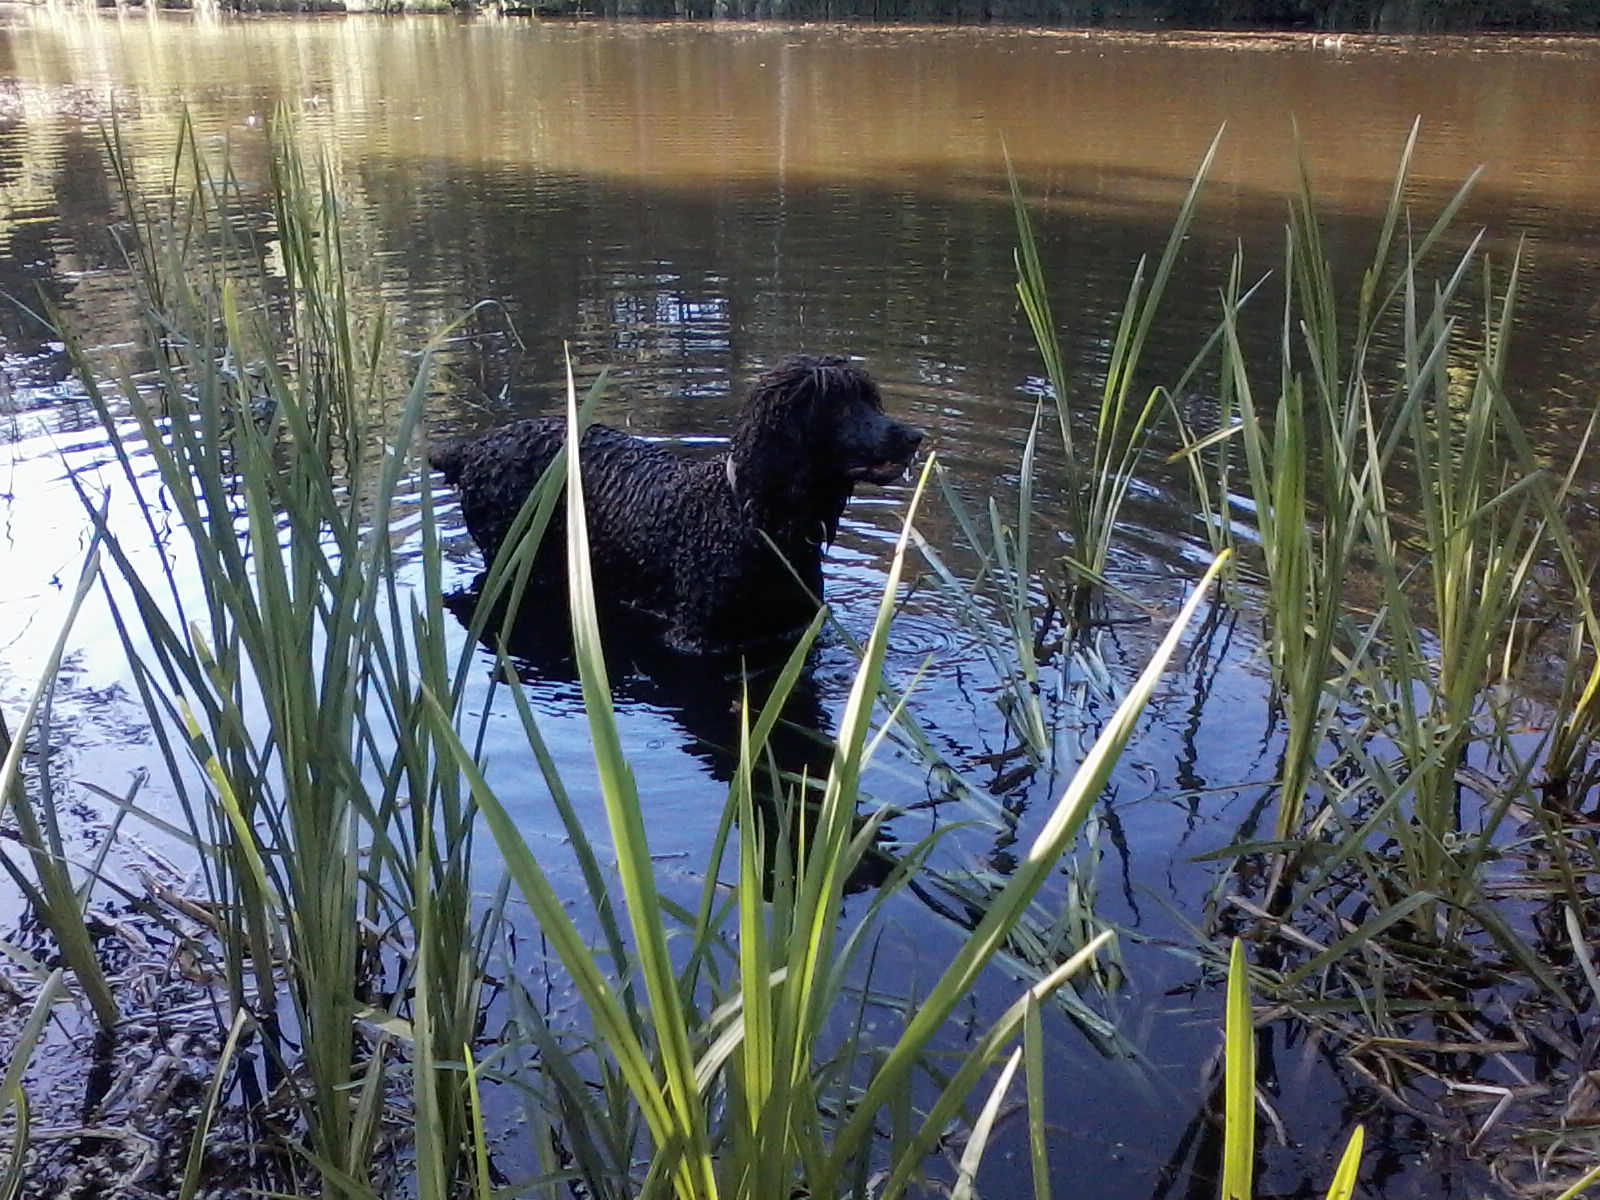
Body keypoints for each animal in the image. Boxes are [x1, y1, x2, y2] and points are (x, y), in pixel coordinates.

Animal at [429, 355, 924, 653]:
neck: (751, 518)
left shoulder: (794, 631)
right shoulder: (696, 641)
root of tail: (474, 448)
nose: (914, 435)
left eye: (870, 399)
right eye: (836, 406)